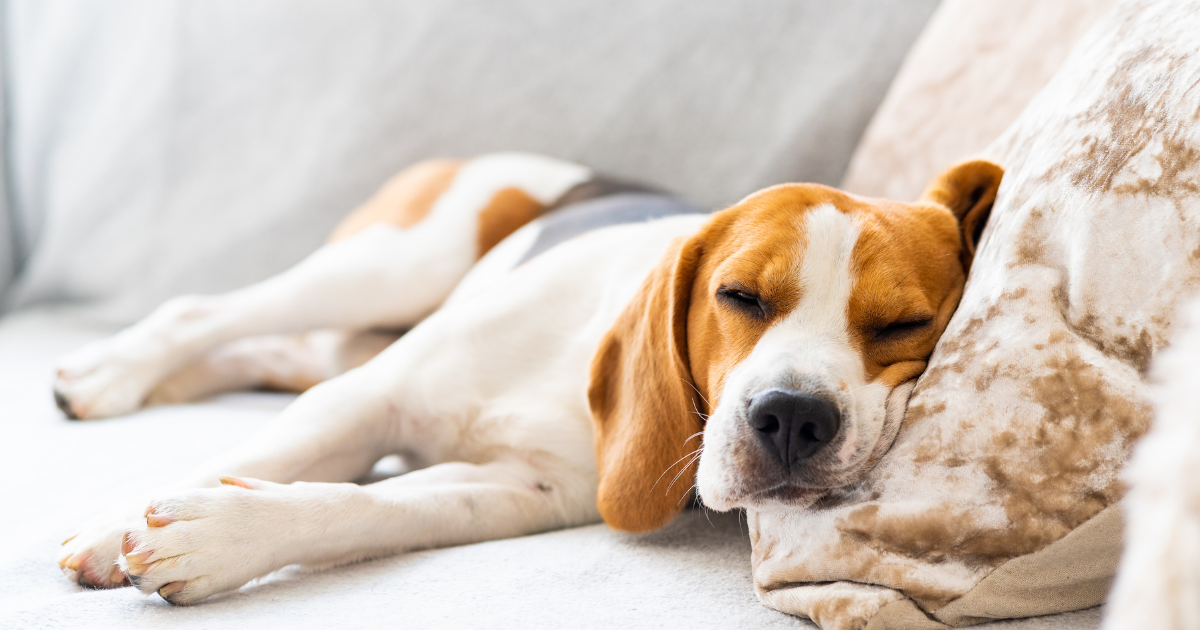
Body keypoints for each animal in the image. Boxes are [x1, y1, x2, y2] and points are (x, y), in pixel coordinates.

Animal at [51, 150, 998, 602]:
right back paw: (108, 373)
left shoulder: (523, 490)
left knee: (258, 351)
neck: (576, 370)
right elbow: (259, 457)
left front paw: (224, 535)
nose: (794, 417)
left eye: (905, 326)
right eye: (739, 296)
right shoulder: (365, 399)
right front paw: (111, 527)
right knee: (201, 313)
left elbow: (367, 504)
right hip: (395, 264)